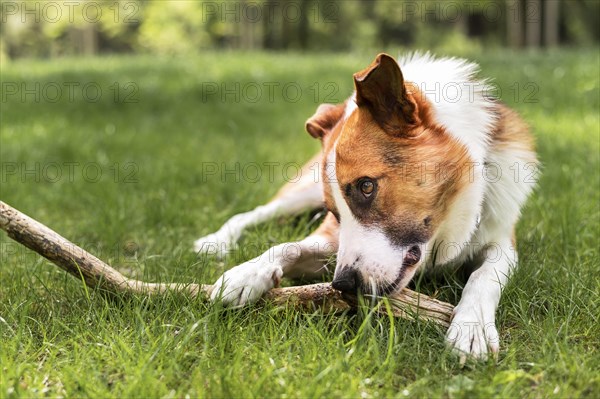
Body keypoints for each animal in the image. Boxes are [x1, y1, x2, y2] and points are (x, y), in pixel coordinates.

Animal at [193, 53, 540, 360]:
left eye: (366, 186)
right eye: (335, 212)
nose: (343, 285)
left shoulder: (503, 244)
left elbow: (483, 277)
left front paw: (472, 326)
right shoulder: (330, 238)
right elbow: (288, 246)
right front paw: (247, 272)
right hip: (300, 194)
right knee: (252, 213)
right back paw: (216, 241)